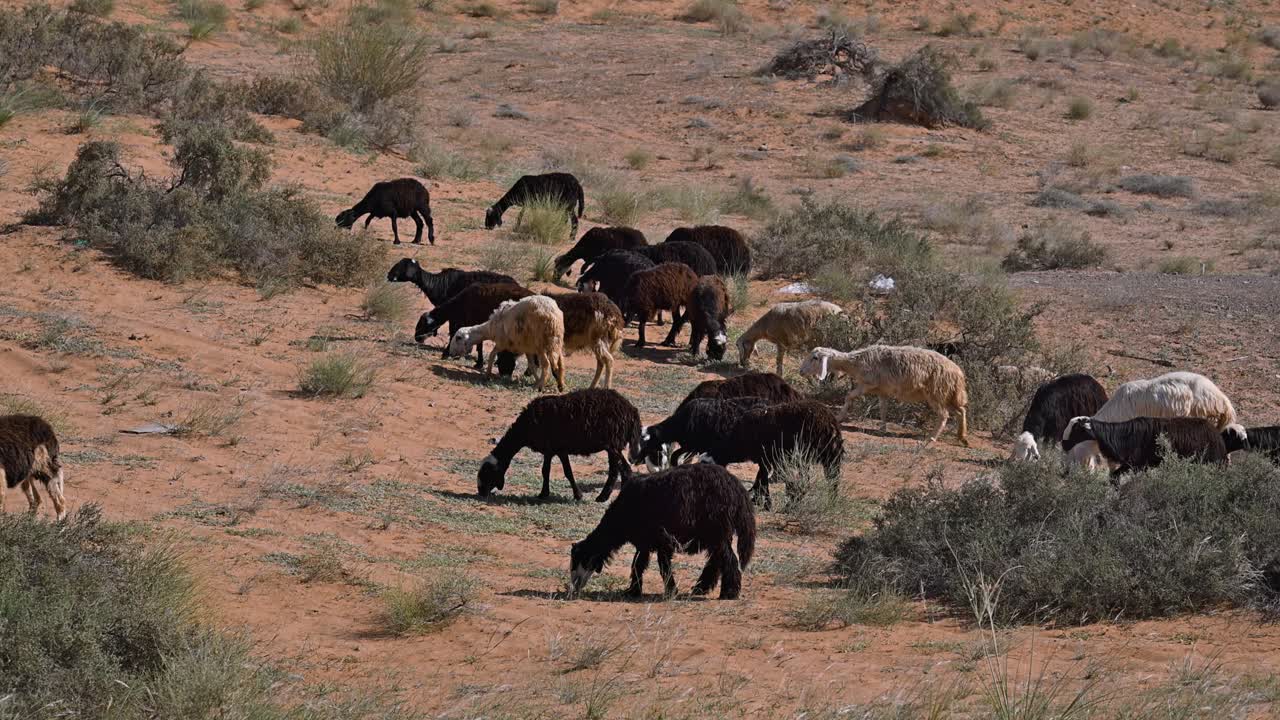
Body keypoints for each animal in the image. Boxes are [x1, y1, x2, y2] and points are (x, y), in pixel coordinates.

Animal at [478, 389, 641, 502]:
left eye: (487, 472)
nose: (480, 492)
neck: (525, 429)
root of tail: (631, 410)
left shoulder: (559, 449)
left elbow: (567, 472)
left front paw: (578, 495)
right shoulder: (550, 450)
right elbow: (545, 470)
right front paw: (543, 494)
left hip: (612, 443)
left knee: (619, 470)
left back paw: (606, 497)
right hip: (614, 445)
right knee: (621, 469)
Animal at [568, 463, 755, 600]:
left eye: (581, 559)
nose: (574, 587)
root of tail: (736, 489)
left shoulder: (662, 538)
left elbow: (662, 565)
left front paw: (670, 591)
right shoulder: (645, 541)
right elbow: (638, 564)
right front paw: (634, 591)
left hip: (716, 528)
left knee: (728, 559)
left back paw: (728, 593)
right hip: (718, 532)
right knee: (717, 558)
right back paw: (701, 588)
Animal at [799, 345, 969, 446]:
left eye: (815, 358)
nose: (800, 371)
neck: (855, 362)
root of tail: (958, 373)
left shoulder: (867, 384)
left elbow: (849, 396)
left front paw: (839, 417)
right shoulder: (883, 390)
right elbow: (883, 408)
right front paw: (882, 428)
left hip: (936, 394)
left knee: (944, 415)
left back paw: (931, 438)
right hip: (949, 395)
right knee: (961, 411)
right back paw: (962, 437)